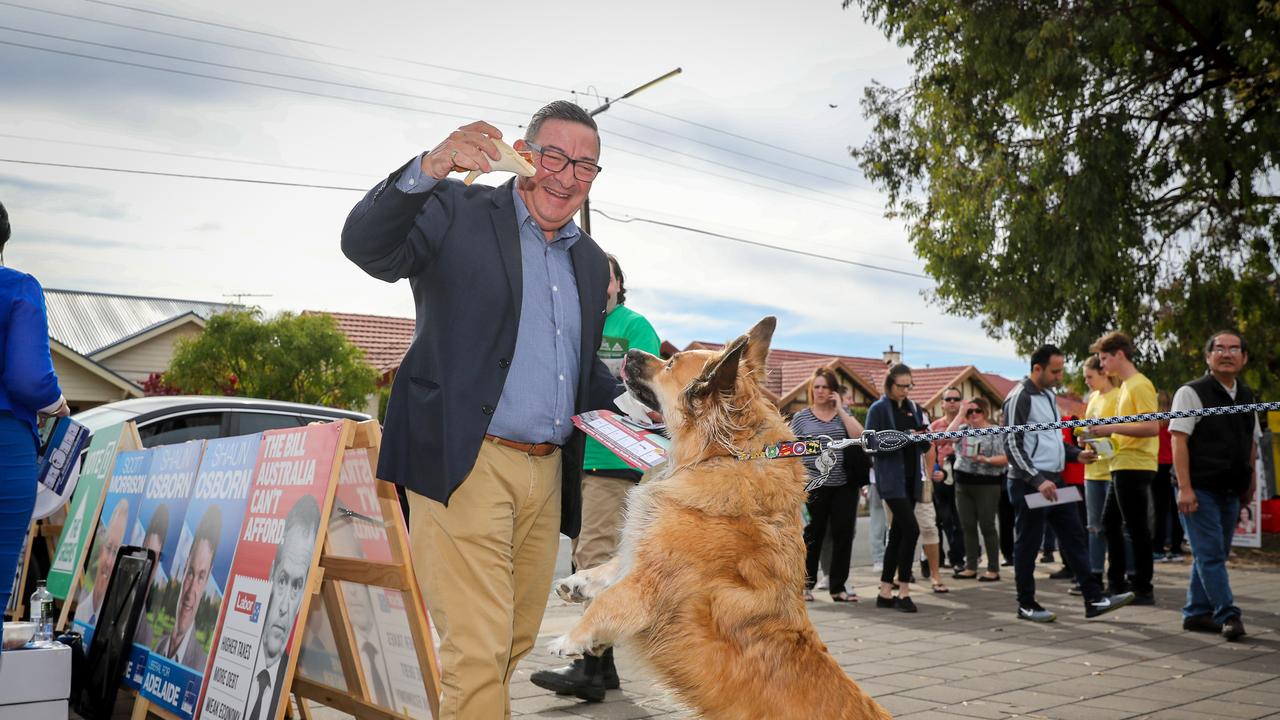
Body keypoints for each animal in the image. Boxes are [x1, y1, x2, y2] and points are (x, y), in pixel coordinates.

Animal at [547, 317, 890, 717]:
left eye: (669, 363)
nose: (628, 353)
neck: (721, 455)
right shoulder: (644, 550)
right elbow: (612, 566)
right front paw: (578, 582)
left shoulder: (648, 582)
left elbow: (608, 601)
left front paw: (570, 638)